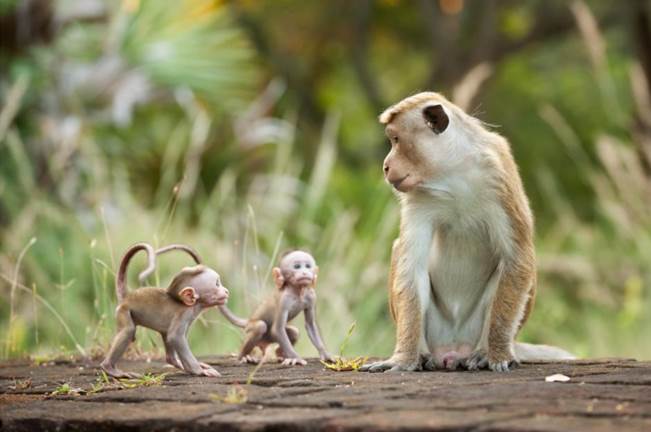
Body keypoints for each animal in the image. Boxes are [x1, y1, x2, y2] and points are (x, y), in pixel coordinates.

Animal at [100, 242, 229, 378]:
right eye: (217, 284)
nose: (226, 291)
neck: (194, 305)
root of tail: (127, 297)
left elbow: (172, 337)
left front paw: (191, 367)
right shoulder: (184, 314)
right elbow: (175, 337)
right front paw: (199, 370)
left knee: (164, 335)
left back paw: (175, 362)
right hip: (123, 311)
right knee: (129, 330)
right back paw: (109, 368)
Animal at [360, 92, 574, 373]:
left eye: (396, 139)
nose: (386, 166)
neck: (452, 173)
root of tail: (452, 351)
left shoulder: (499, 175)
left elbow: (517, 257)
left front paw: (497, 354)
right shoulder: (418, 198)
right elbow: (411, 267)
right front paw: (403, 359)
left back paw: (484, 351)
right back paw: (423, 355)